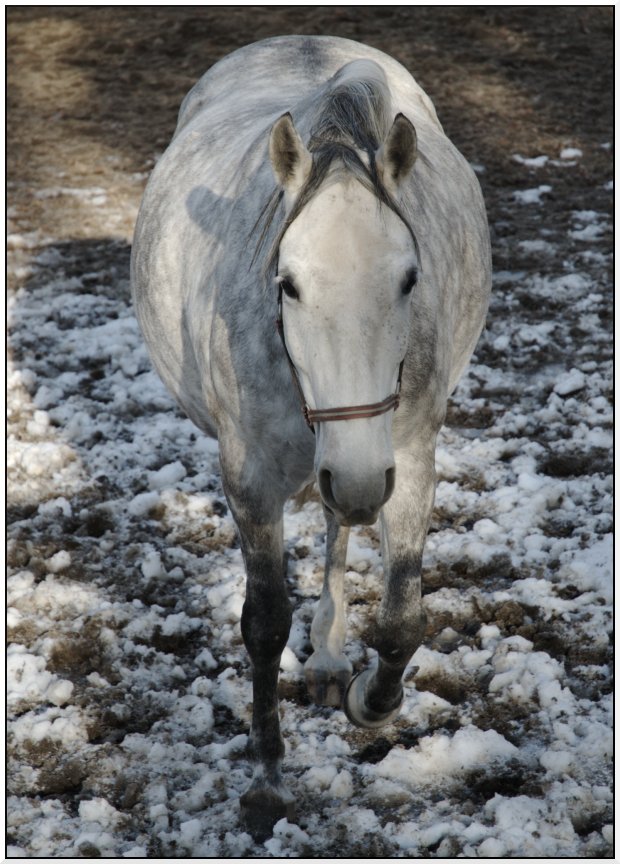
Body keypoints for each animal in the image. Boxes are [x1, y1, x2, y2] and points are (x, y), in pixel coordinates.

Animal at [131, 35, 491, 837]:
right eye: (288, 283)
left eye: (410, 278)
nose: (356, 476)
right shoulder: (251, 480)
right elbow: (264, 624)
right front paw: (266, 781)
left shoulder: (404, 458)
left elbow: (402, 617)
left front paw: (370, 701)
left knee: (338, 524)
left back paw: (328, 658)